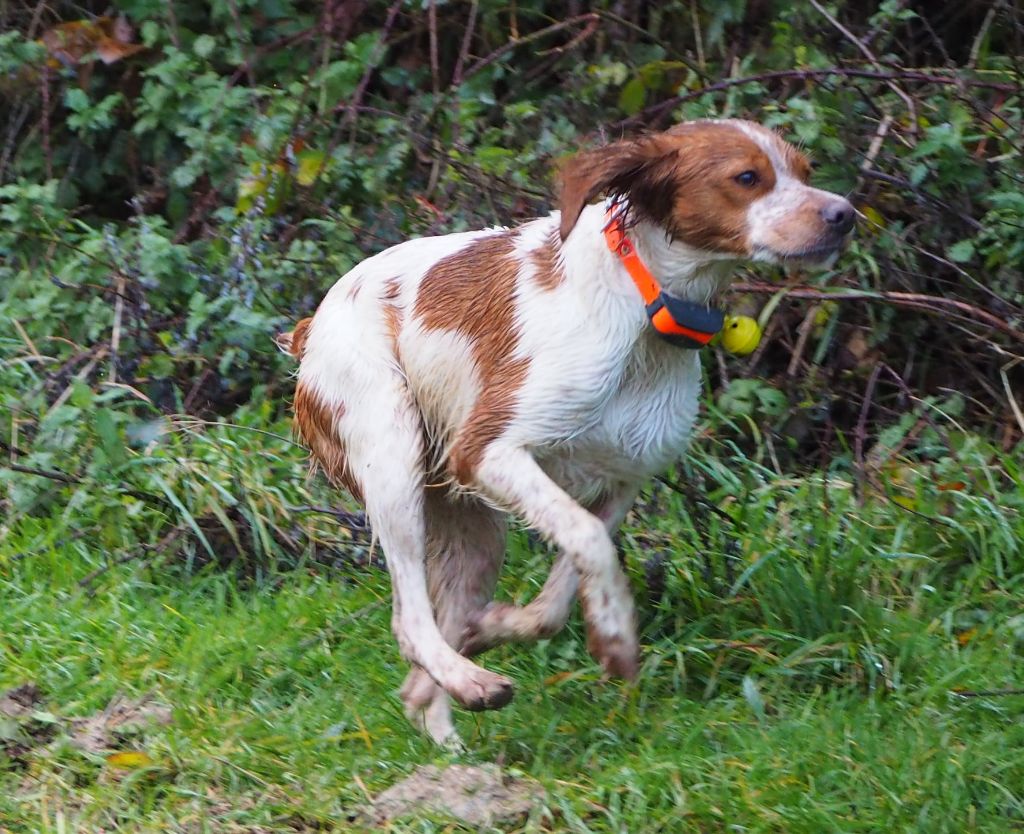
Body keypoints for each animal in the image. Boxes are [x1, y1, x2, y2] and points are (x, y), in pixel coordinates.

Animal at [280, 115, 856, 745]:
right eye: (747, 177)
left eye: (805, 170)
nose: (845, 214)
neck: (645, 310)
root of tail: (312, 325)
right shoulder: (487, 450)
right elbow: (587, 540)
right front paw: (617, 637)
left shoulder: (624, 478)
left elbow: (560, 594)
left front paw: (504, 625)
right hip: (391, 456)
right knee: (409, 619)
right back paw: (471, 682)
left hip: (474, 532)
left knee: (419, 675)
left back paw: (455, 722)